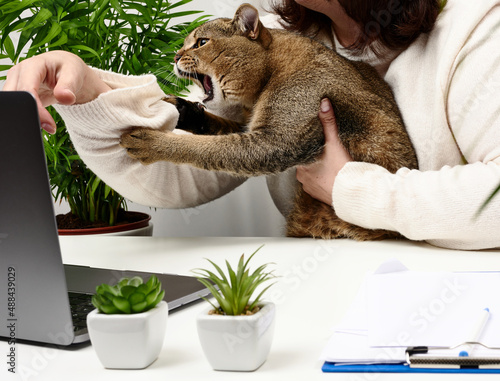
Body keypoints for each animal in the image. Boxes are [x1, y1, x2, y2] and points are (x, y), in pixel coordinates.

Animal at [120, 2, 418, 239]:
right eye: (183, 45)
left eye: (201, 42)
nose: (175, 55)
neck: (271, 69)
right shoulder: (248, 127)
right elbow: (216, 127)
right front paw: (184, 109)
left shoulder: (275, 140)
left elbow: (206, 150)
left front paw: (152, 142)